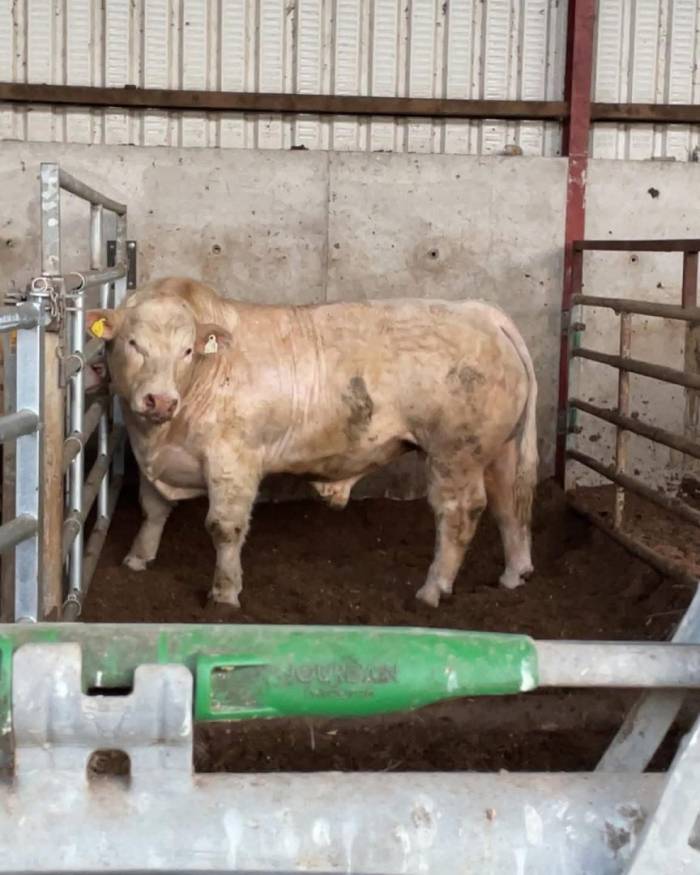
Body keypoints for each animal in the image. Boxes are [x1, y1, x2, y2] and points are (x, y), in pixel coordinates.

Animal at [87, 277, 538, 608]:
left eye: (186, 350)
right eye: (133, 343)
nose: (160, 400)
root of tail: (481, 310)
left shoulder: (234, 461)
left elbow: (225, 527)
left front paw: (225, 593)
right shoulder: (154, 461)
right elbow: (153, 509)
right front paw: (137, 558)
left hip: (455, 452)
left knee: (459, 513)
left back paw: (432, 589)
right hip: (498, 449)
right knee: (509, 503)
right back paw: (514, 574)